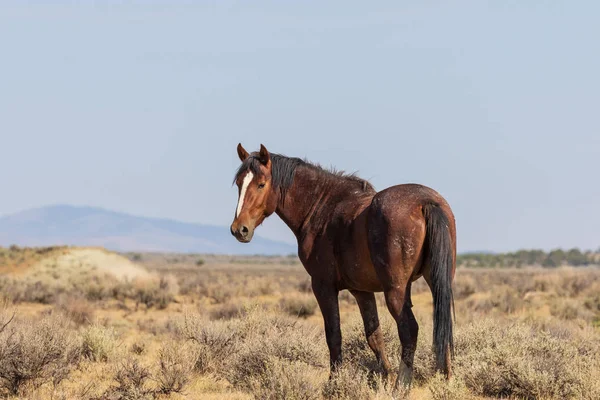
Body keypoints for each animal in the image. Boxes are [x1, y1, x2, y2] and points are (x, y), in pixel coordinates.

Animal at [230, 143, 454, 388]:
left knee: (409, 330)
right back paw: (446, 380)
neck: (322, 208)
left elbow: (334, 335)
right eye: (239, 183)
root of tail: (426, 202)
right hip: (438, 282)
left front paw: (334, 383)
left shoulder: (323, 287)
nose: (239, 229)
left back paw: (401, 386)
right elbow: (374, 336)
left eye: (261, 184)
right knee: (443, 327)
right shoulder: (362, 291)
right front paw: (384, 377)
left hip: (395, 291)